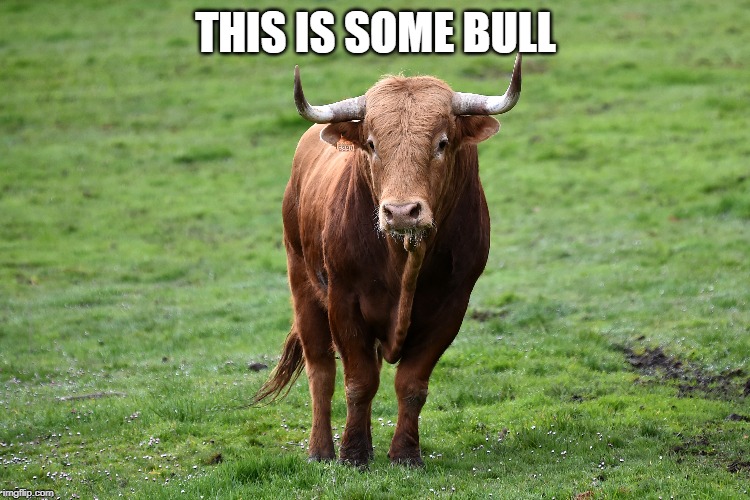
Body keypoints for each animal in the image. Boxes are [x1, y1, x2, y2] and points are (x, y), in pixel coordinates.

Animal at [254, 55, 523, 467]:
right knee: (321, 372)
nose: (400, 212)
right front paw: (353, 453)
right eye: (371, 144)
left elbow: (411, 384)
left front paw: (405, 453)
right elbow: (358, 381)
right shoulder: (344, 302)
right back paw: (321, 450)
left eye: (442, 142)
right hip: (302, 284)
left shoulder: (451, 306)